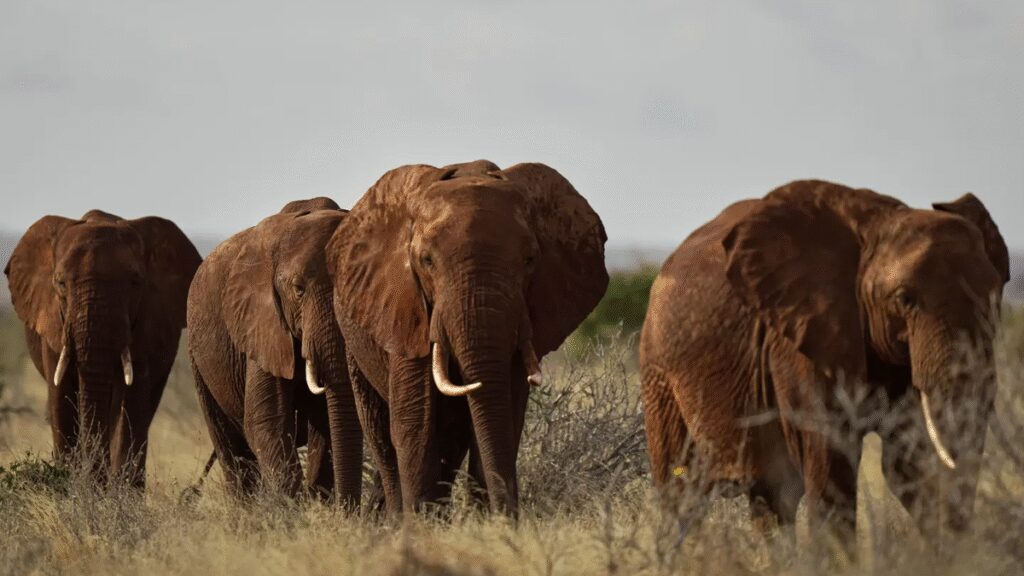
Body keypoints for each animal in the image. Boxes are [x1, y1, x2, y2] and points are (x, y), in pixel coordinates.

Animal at [4, 210, 201, 487]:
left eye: (135, 282)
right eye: (60, 283)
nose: (96, 479)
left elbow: (132, 403)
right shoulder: (53, 325)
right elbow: (60, 397)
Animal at [187, 198, 362, 505]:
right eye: (298, 290)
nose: (349, 510)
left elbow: (327, 423)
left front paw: (317, 505)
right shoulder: (261, 323)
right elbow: (267, 421)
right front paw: (292, 509)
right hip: (198, 360)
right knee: (228, 442)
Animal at [328, 160, 608, 516]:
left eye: (530, 260)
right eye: (427, 261)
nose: (506, 516)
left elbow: (505, 415)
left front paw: (485, 521)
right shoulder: (404, 310)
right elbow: (414, 422)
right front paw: (422, 524)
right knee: (381, 433)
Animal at [640, 180, 1009, 536]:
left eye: (995, 296)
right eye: (905, 299)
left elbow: (908, 464)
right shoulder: (799, 339)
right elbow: (832, 464)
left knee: (770, 498)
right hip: (658, 372)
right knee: (683, 495)